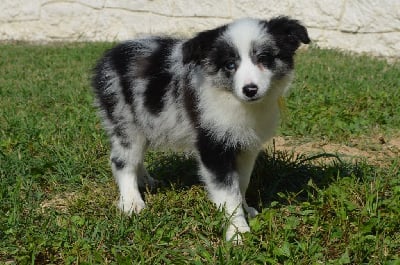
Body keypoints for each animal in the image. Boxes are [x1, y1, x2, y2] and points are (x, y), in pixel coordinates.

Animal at [91, 15, 310, 240]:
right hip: (124, 118)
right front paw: (237, 232)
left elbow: (241, 183)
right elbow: (228, 193)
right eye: (230, 65)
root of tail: (109, 57)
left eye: (264, 58)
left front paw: (246, 210)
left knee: (136, 157)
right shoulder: (213, 145)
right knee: (122, 160)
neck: (232, 99)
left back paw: (145, 181)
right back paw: (132, 202)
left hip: (144, 122)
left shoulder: (246, 147)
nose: (250, 90)